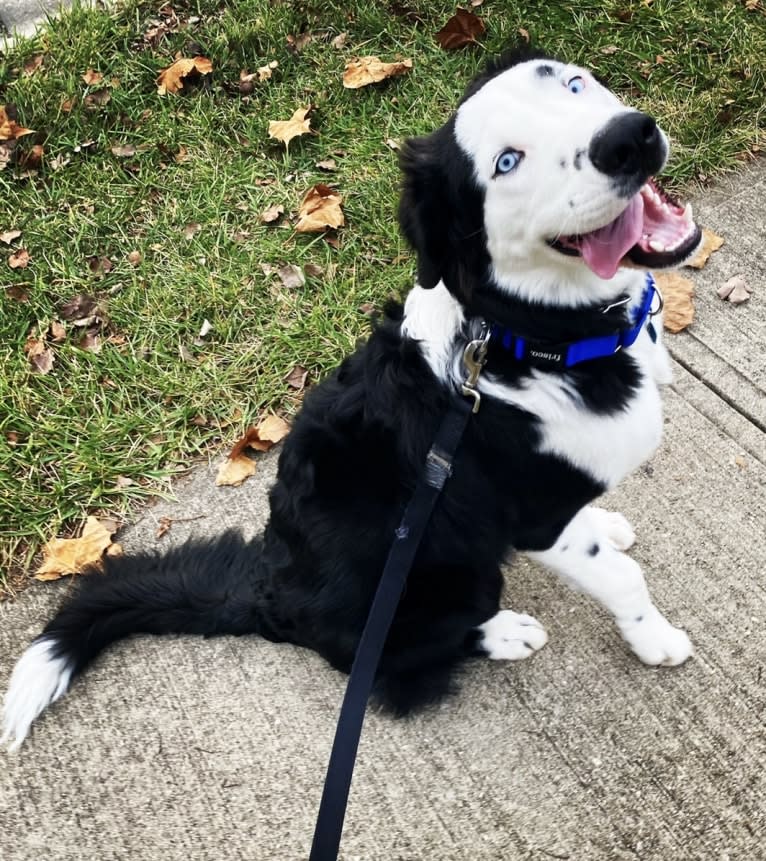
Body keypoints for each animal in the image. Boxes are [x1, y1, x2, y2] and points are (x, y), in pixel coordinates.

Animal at [3, 47, 704, 748]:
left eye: (573, 83)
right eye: (507, 163)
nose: (627, 139)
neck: (529, 335)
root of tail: (268, 594)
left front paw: (605, 525)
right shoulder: (538, 519)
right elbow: (623, 581)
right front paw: (657, 641)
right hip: (441, 581)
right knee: (397, 655)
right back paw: (503, 633)